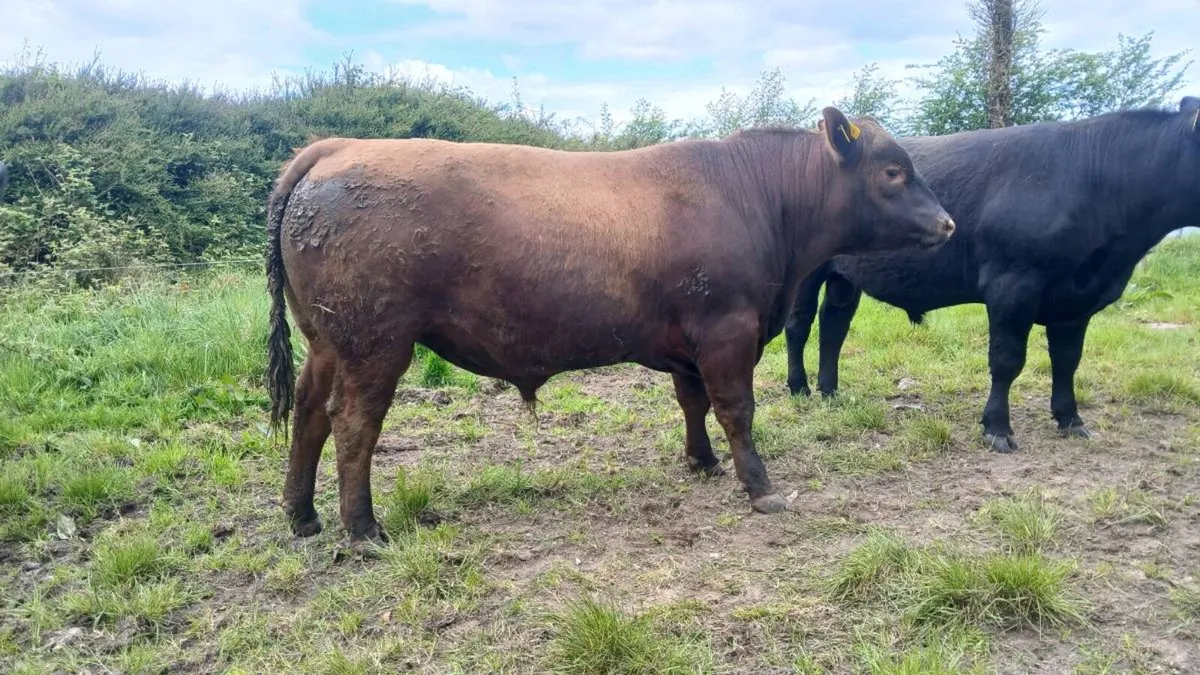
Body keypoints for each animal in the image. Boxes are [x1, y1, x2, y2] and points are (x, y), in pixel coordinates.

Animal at [263, 106, 956, 545]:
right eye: (894, 170)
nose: (948, 224)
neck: (752, 195)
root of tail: (338, 147)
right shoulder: (727, 330)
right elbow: (737, 410)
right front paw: (760, 488)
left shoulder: (689, 342)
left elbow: (692, 402)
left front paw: (701, 462)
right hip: (375, 343)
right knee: (354, 422)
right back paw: (363, 529)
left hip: (326, 340)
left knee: (310, 413)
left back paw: (302, 516)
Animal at [784, 97, 1200, 454]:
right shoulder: (1012, 283)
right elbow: (1007, 359)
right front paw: (997, 428)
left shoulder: (1076, 299)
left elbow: (1068, 359)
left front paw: (1070, 420)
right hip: (807, 273)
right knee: (799, 324)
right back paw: (799, 388)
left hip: (845, 277)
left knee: (833, 325)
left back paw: (831, 391)